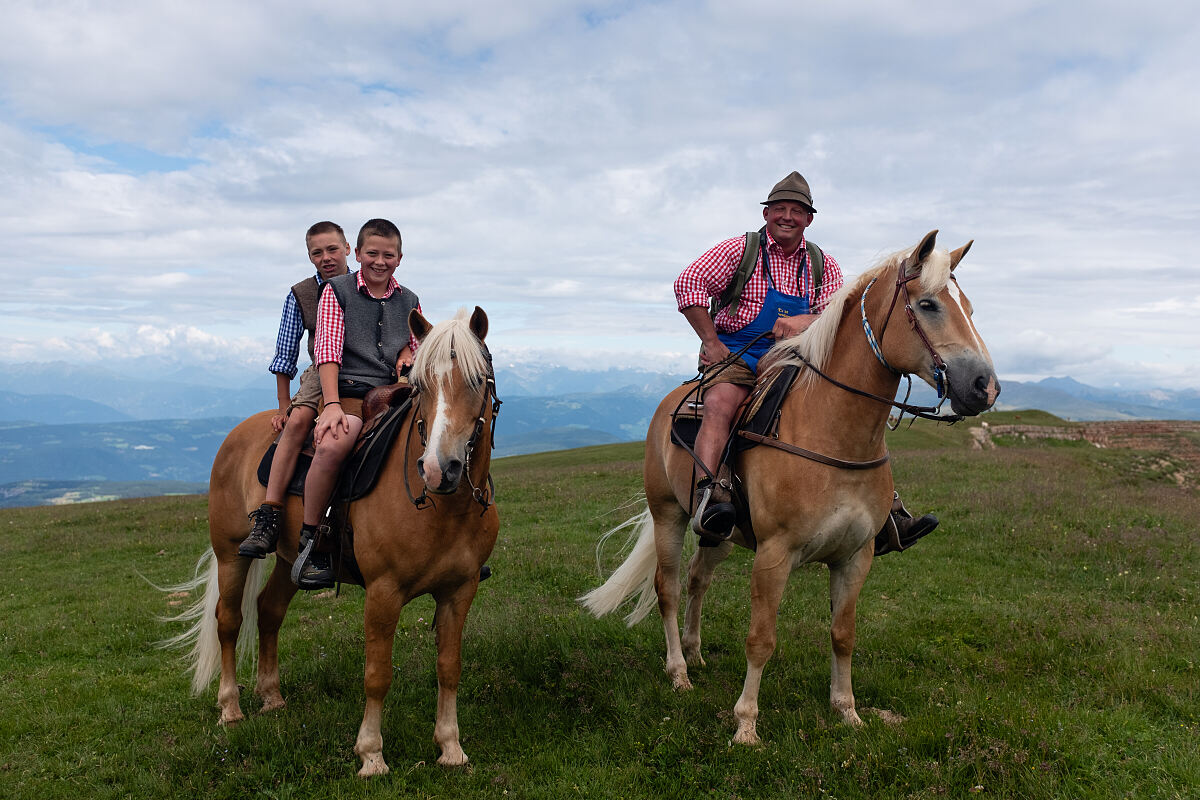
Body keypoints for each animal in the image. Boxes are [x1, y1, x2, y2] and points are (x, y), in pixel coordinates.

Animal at [166, 307, 499, 777]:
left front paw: (450, 747)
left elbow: (449, 667)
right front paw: (371, 755)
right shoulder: (383, 592)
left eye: (477, 381)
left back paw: (272, 696)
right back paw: (230, 707)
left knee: (269, 611)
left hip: (291, 560)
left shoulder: (460, 590)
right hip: (231, 554)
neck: (444, 508)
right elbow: (377, 674)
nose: (439, 468)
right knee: (228, 620)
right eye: (421, 385)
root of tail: (238, 434)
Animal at [578, 230, 993, 743]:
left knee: (698, 578)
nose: (984, 386)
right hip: (668, 514)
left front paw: (847, 710)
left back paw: (695, 651)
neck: (832, 432)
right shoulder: (774, 556)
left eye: (969, 308)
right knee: (668, 587)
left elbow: (843, 634)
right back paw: (679, 671)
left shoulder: (856, 557)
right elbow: (761, 639)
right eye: (929, 304)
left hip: (720, 532)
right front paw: (746, 725)